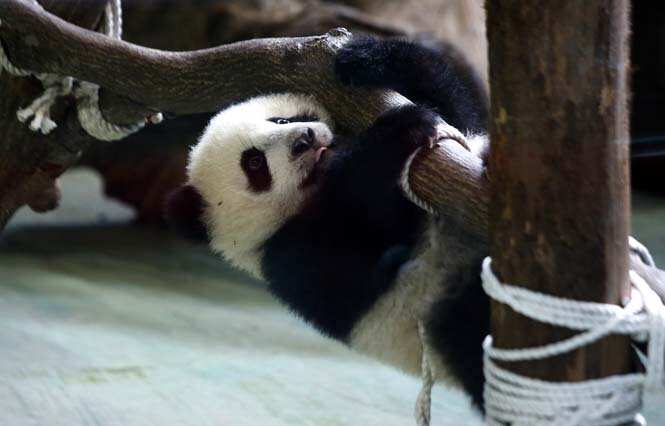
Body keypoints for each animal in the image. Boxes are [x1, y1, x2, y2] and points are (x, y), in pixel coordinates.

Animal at [167, 37, 491, 411]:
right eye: (254, 163)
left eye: (281, 118)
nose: (304, 139)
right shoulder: (288, 260)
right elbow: (350, 261)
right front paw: (398, 131)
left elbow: (458, 115)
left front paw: (365, 57)